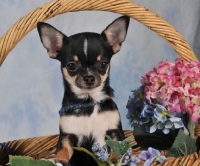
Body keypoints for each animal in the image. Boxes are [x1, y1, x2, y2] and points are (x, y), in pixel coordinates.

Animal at [37, 15, 130, 166]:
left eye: (103, 64)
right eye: (71, 65)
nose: (89, 77)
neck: (88, 103)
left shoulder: (115, 132)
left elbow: (117, 148)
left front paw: (115, 160)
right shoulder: (67, 136)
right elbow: (63, 150)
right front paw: (60, 160)